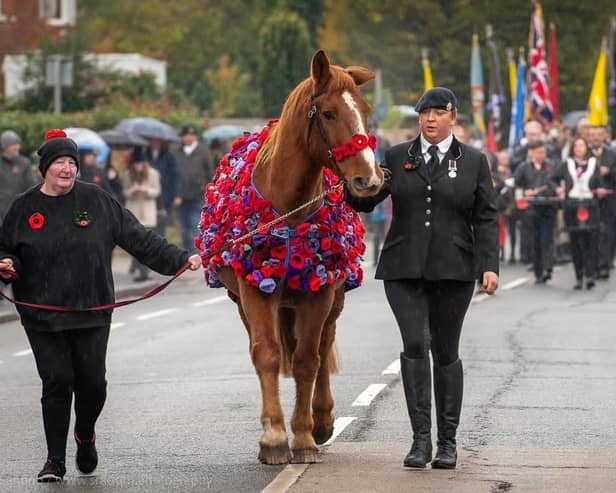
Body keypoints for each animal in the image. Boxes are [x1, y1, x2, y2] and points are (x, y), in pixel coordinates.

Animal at [201, 48, 384, 464]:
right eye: (329, 114)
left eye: (366, 111)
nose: (369, 179)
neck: (287, 211)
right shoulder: (255, 290)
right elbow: (267, 354)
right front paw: (272, 437)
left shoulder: (319, 292)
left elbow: (307, 360)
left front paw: (303, 436)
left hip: (333, 295)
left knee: (324, 344)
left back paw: (323, 418)